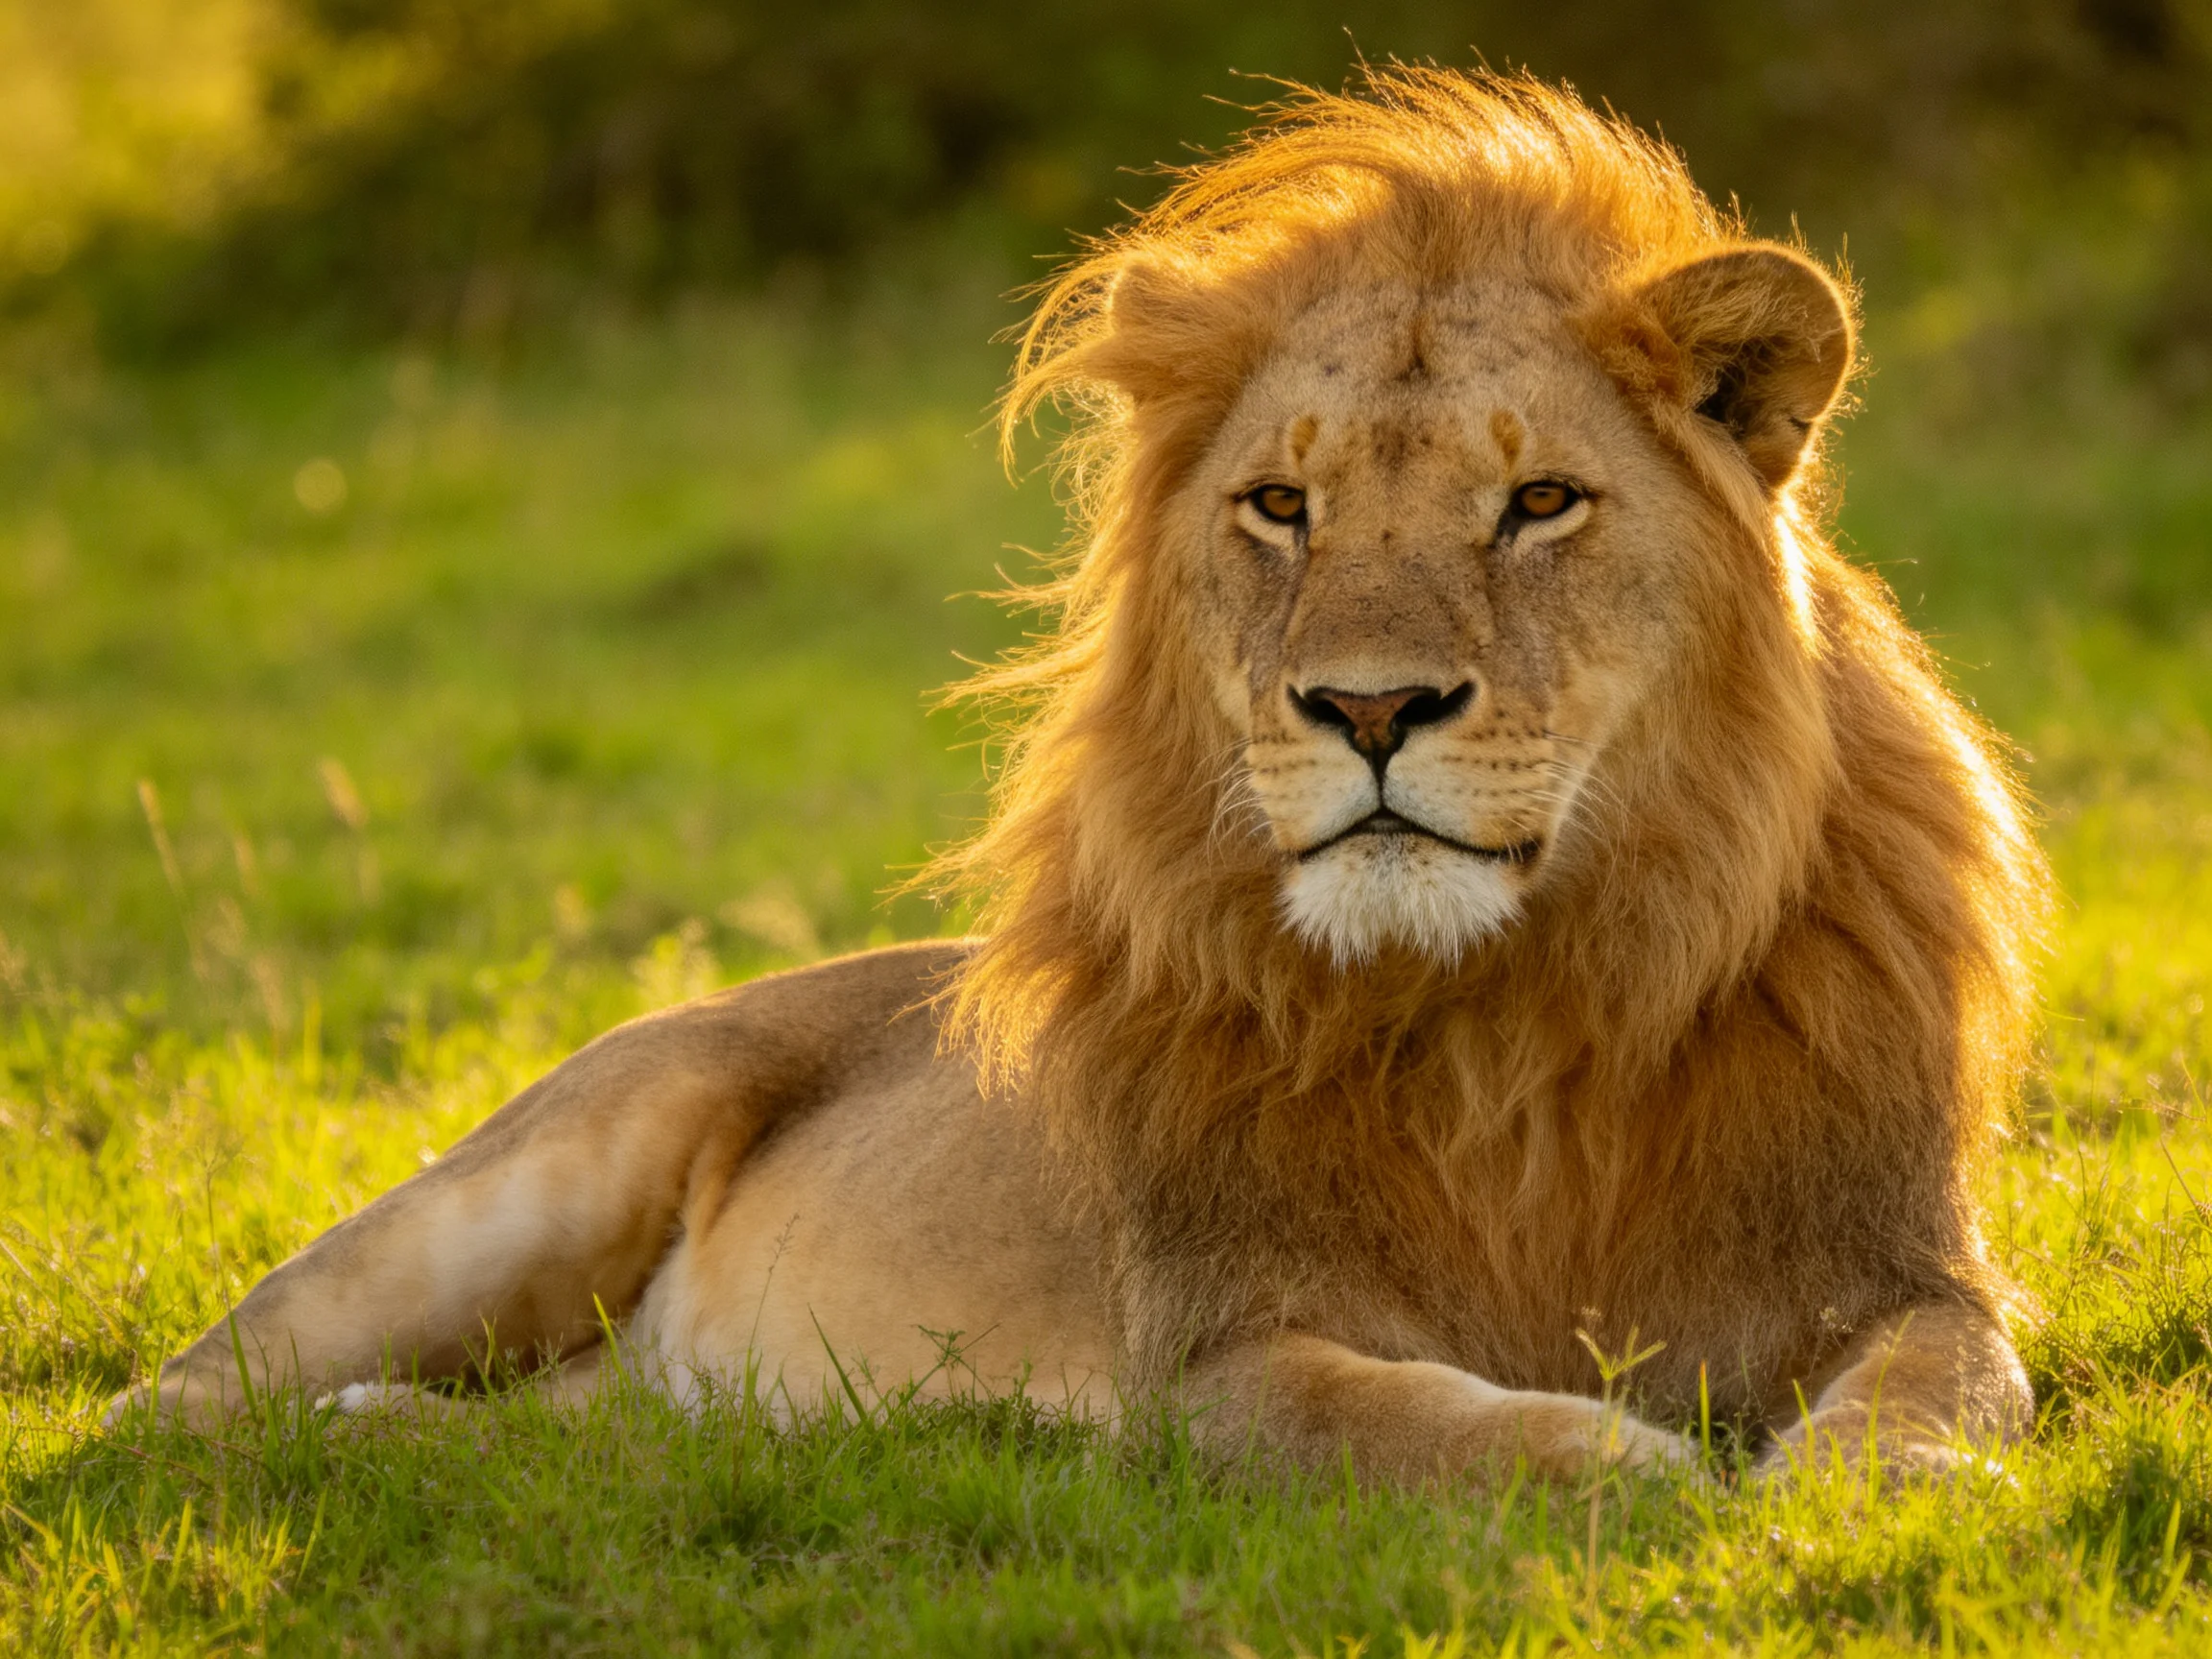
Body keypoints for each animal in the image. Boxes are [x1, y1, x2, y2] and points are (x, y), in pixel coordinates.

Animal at [110, 70, 2049, 1483]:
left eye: (1540, 502)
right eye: (1280, 505)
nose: (1367, 707)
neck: (1512, 1019)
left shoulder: (1901, 1266)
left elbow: (1949, 1386)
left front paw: (1851, 1491)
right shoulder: (1218, 1356)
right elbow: (1424, 1423)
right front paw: (1655, 1468)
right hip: (528, 1180)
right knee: (160, 1403)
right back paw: (342, 1441)